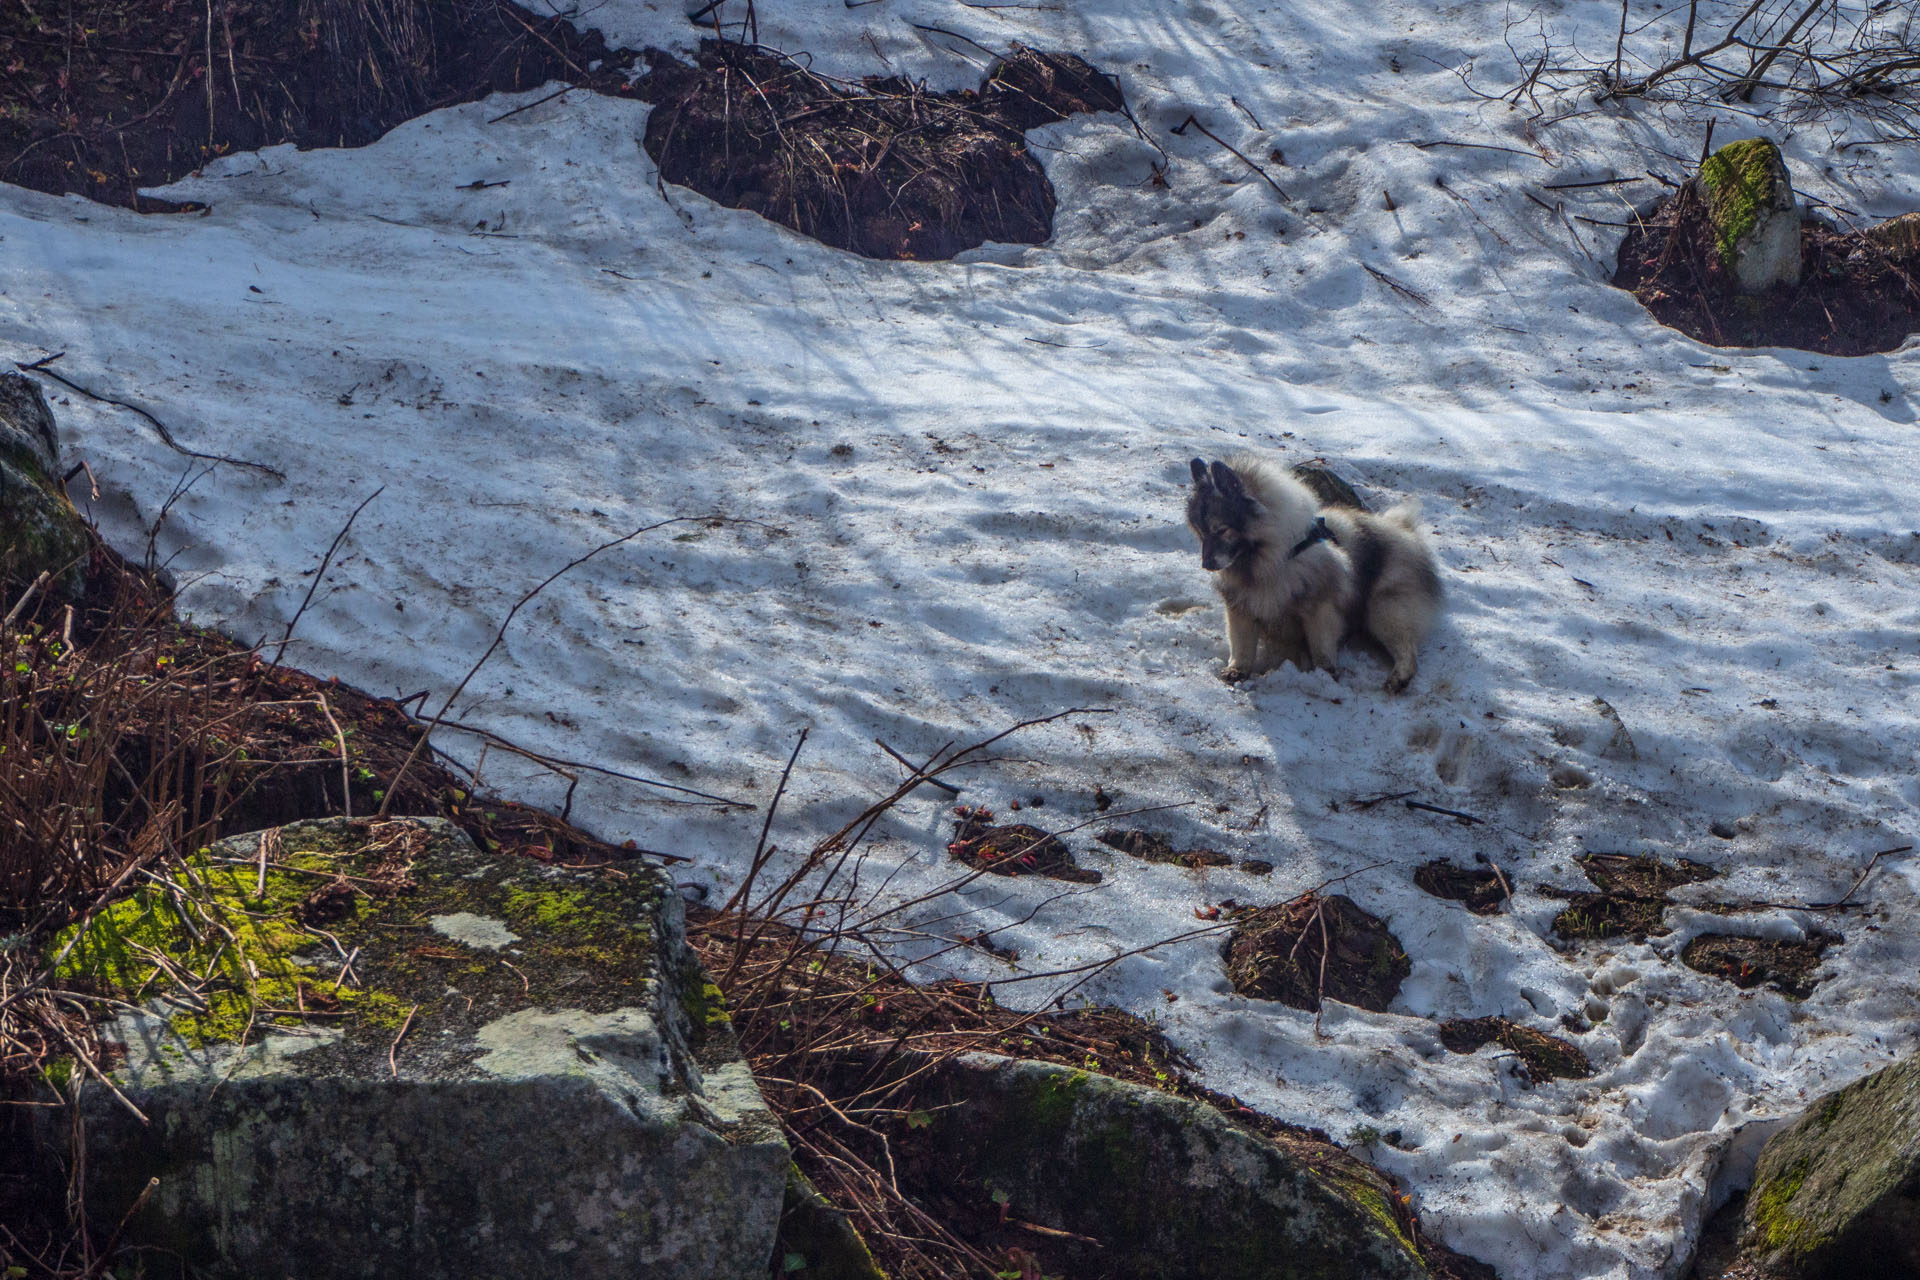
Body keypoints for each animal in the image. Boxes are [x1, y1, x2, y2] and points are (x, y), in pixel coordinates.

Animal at [1182, 450, 1443, 690]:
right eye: (1201, 532)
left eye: (1221, 530)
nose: (1206, 564)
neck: (1273, 560)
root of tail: (1405, 530)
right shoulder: (1241, 608)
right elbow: (1242, 645)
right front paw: (1237, 671)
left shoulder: (1320, 607)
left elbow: (1321, 646)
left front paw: (1325, 673)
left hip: (1383, 610)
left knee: (1407, 650)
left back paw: (1399, 678)